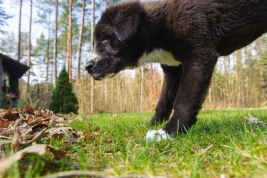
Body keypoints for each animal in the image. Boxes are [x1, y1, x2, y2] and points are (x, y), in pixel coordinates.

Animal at [86, 0, 267, 139]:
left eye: (104, 37)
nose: (87, 67)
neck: (158, 27)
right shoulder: (172, 70)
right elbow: (163, 102)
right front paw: (153, 124)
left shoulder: (199, 55)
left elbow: (183, 101)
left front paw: (167, 133)